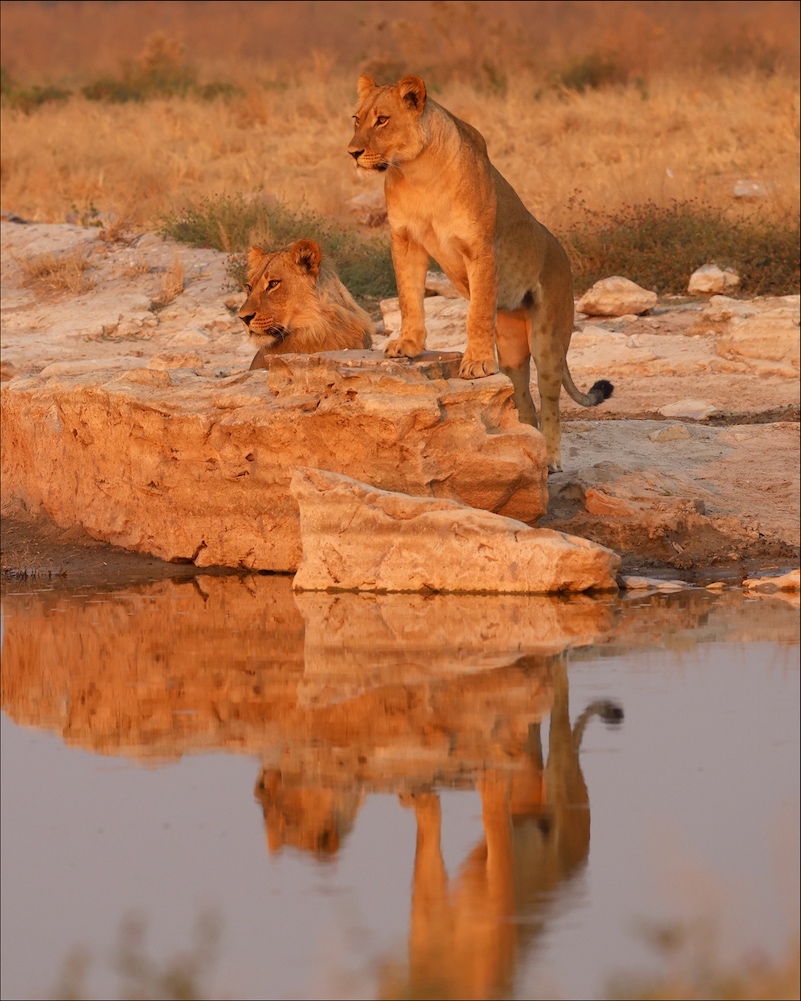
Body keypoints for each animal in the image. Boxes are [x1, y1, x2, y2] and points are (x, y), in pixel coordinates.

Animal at [348, 75, 612, 472]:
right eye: (356, 118)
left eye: (382, 120)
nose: (352, 152)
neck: (415, 173)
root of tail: (562, 254)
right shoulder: (405, 240)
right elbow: (409, 296)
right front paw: (407, 344)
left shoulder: (481, 248)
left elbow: (476, 313)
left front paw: (476, 363)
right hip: (513, 349)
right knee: (525, 404)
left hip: (548, 340)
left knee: (551, 406)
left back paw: (551, 460)